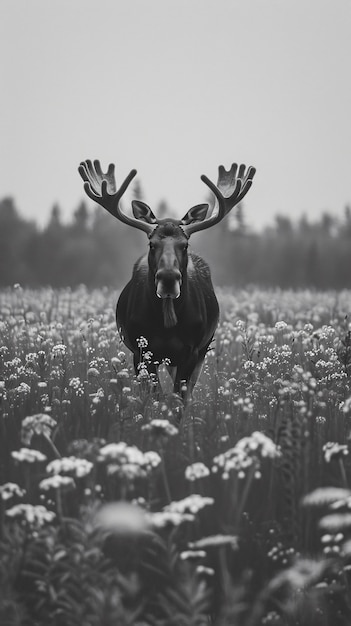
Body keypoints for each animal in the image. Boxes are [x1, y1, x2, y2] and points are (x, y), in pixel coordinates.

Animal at [79, 156, 256, 400]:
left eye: (185, 244)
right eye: (152, 244)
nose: (168, 278)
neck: (167, 321)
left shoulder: (192, 350)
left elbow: (178, 398)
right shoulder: (140, 351)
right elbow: (156, 396)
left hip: (201, 349)